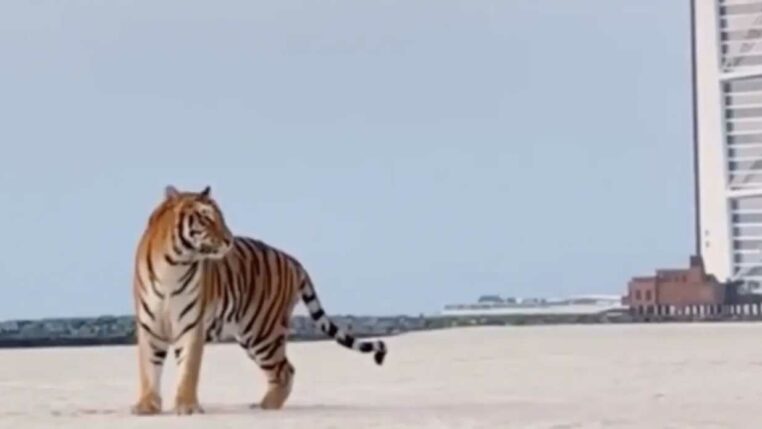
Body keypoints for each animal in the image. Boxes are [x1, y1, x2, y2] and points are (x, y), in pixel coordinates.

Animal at [131, 185, 387, 415]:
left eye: (221, 218)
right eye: (207, 219)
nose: (229, 240)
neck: (173, 264)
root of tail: (293, 260)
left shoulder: (192, 326)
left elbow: (188, 370)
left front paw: (187, 407)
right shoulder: (150, 325)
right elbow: (148, 368)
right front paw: (147, 406)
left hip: (262, 332)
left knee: (284, 370)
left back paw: (265, 407)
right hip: (251, 334)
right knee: (285, 370)